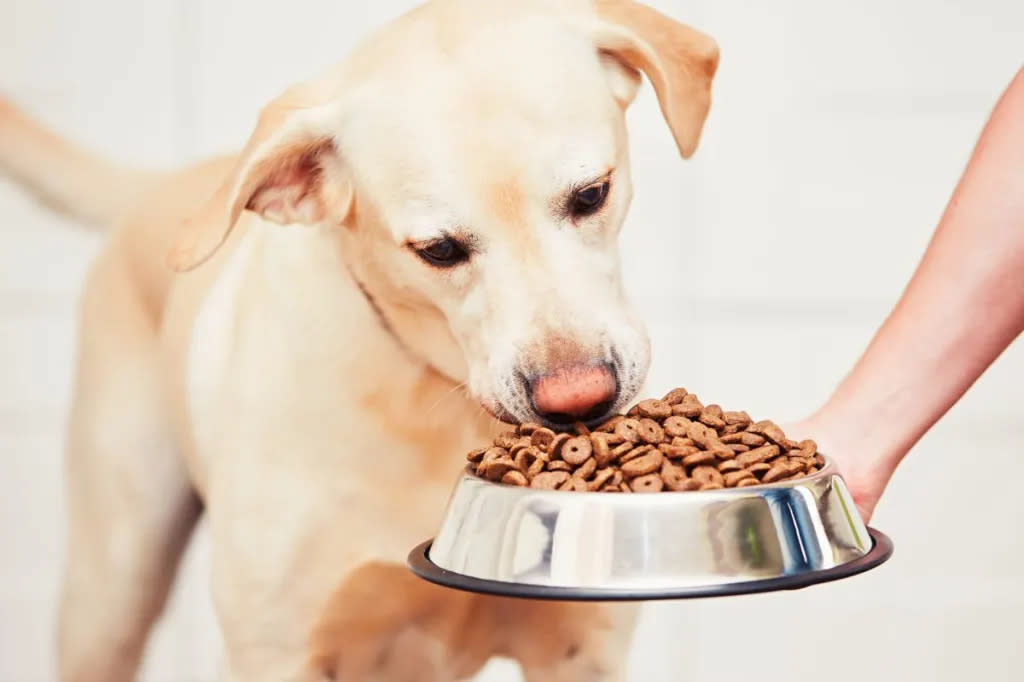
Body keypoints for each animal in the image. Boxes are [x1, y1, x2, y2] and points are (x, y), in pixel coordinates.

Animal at [2, 1, 720, 679]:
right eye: (438, 250)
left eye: (591, 194)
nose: (579, 401)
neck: (432, 393)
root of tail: (167, 181)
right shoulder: (273, 654)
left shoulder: (578, 650)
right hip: (111, 592)